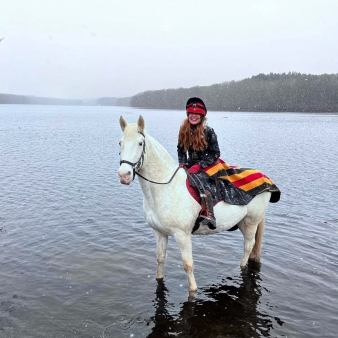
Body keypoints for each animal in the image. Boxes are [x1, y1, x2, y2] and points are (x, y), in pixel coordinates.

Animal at [117, 114, 270, 294]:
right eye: (120, 142)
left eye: (140, 143)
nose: (124, 175)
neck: (165, 187)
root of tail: (265, 178)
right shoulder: (159, 232)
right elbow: (160, 259)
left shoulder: (182, 235)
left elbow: (188, 265)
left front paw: (193, 290)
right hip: (242, 222)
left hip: (252, 221)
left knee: (248, 246)